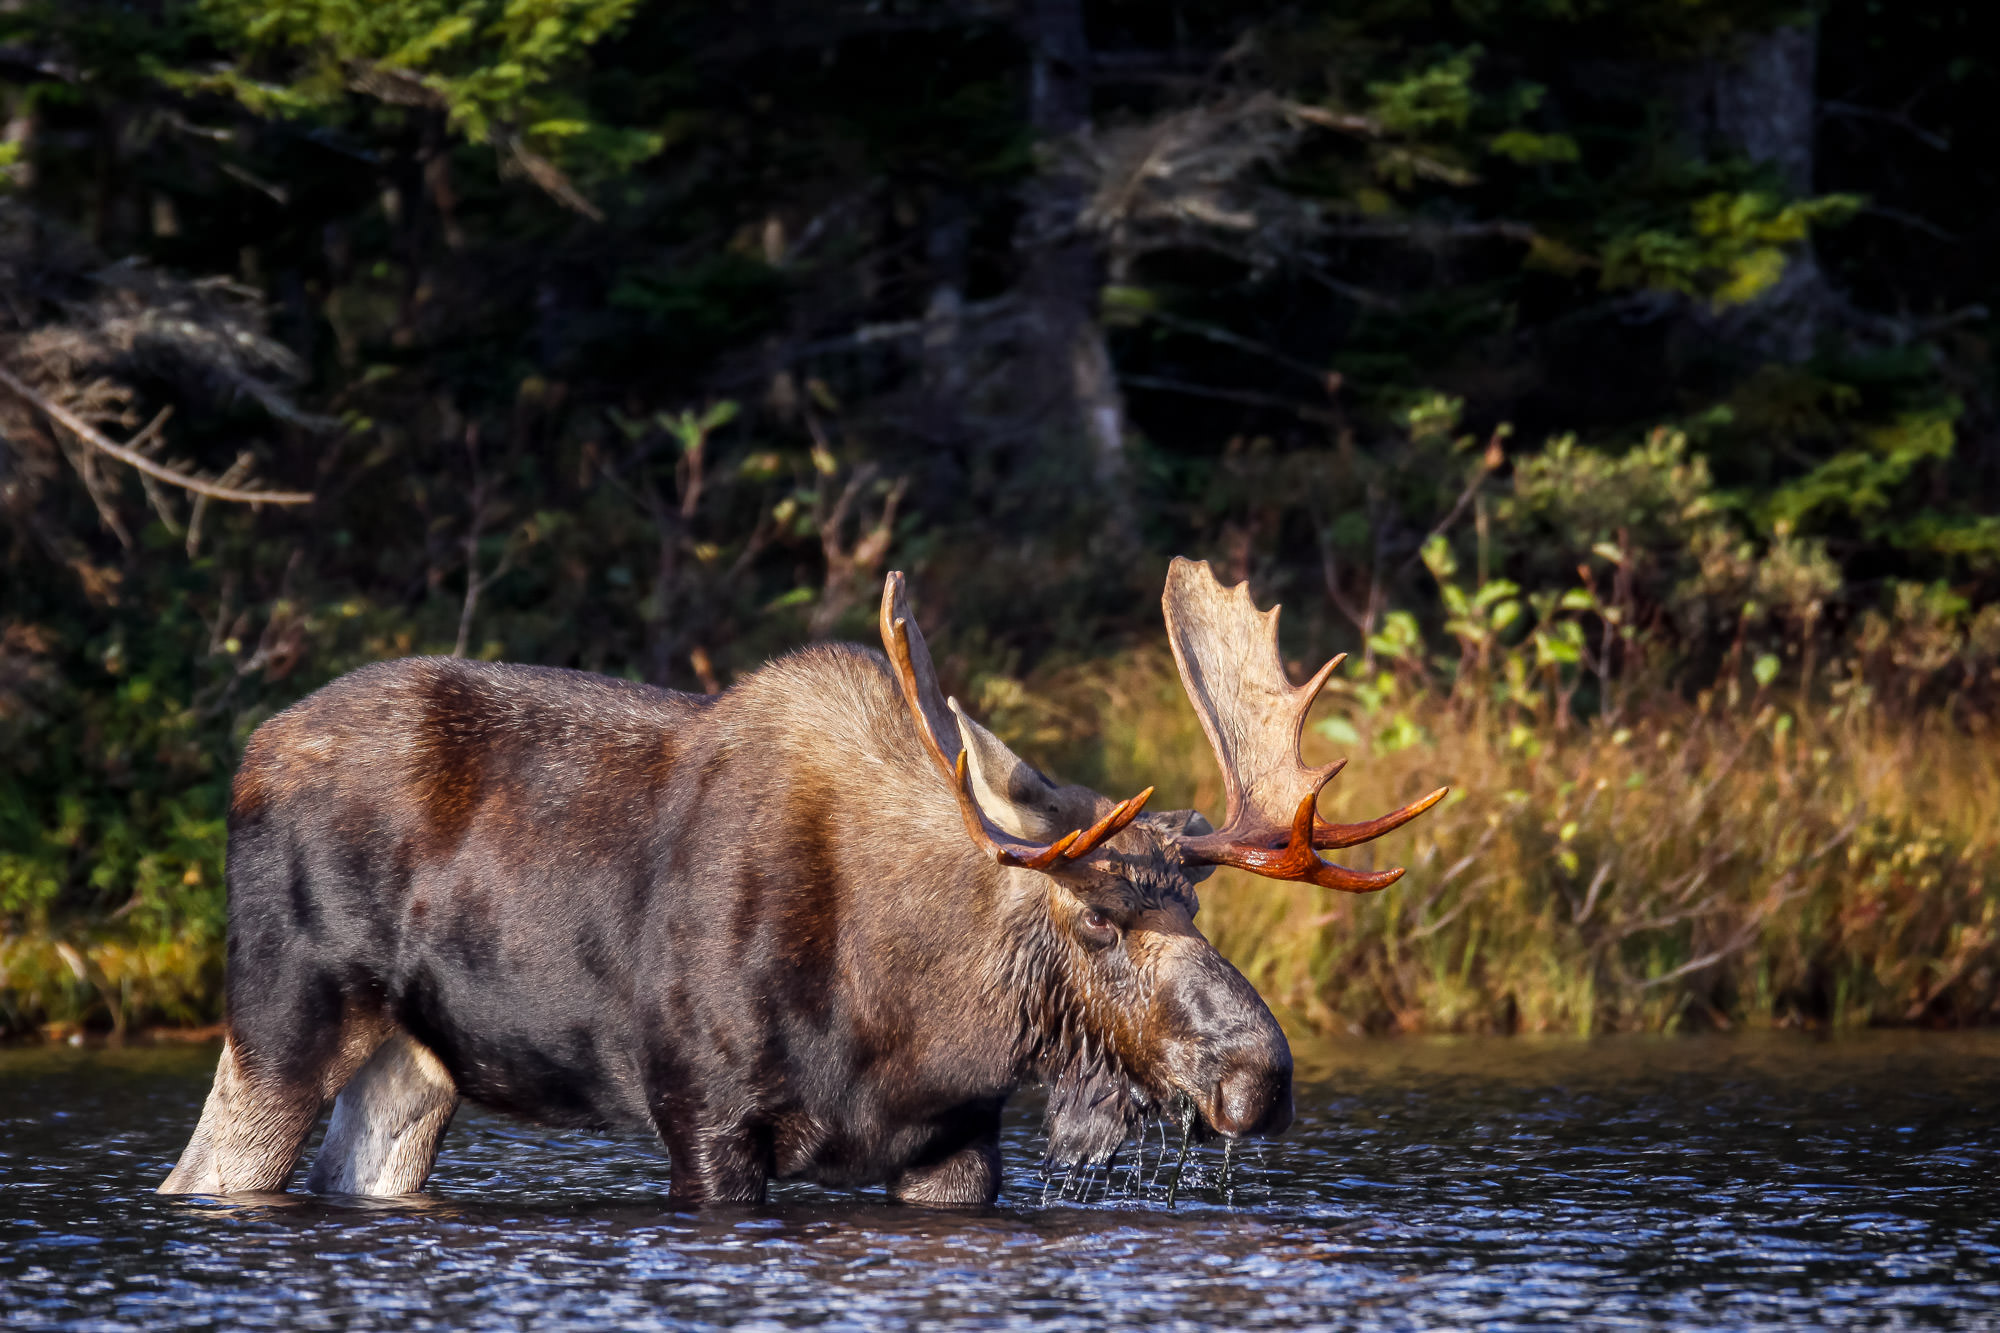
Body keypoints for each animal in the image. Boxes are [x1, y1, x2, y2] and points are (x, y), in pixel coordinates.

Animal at [156, 556, 1440, 1200]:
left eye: (1196, 903)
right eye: (1096, 919)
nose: (1260, 1076)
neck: (909, 1024)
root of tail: (246, 756)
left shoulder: (956, 1142)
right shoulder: (701, 1117)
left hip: (418, 1062)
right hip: (281, 1019)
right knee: (208, 1168)